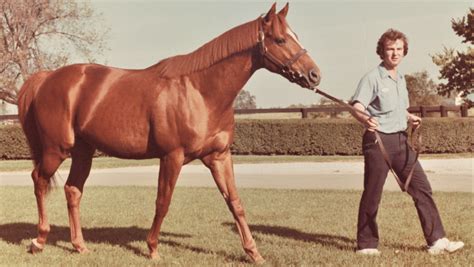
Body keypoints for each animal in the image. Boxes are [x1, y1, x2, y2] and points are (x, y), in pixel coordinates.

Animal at [16, 2, 320, 264]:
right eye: (280, 40)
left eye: (294, 36)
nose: (314, 74)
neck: (201, 91)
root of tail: (46, 78)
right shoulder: (172, 157)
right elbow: (163, 202)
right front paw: (152, 249)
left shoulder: (219, 156)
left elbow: (235, 202)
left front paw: (254, 252)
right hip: (56, 150)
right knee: (39, 180)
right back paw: (38, 241)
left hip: (83, 152)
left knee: (72, 190)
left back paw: (79, 245)